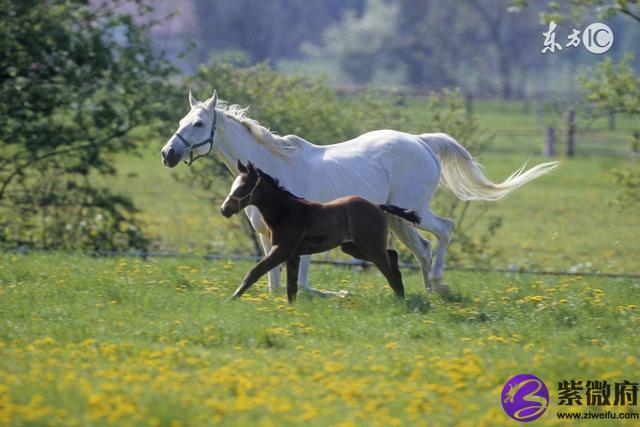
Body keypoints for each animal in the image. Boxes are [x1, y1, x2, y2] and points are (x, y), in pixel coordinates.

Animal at [220, 160, 420, 304]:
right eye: (233, 185)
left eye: (244, 187)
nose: (225, 209)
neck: (286, 212)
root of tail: (377, 206)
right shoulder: (293, 255)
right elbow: (291, 286)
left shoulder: (281, 249)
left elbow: (254, 272)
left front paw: (231, 298)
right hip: (353, 247)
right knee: (392, 255)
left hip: (370, 247)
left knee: (390, 270)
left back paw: (400, 301)